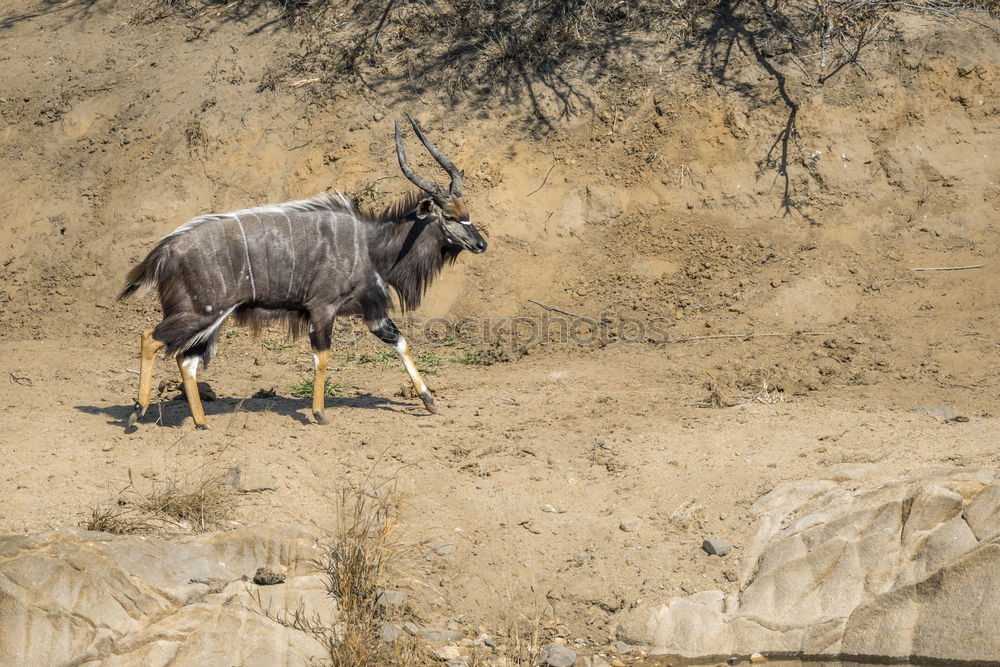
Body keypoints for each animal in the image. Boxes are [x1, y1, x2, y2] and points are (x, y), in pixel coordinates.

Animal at [119, 117, 486, 430]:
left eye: (467, 211)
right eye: (450, 216)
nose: (481, 244)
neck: (370, 245)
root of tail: (164, 251)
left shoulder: (371, 310)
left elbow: (400, 342)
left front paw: (429, 400)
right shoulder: (322, 308)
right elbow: (321, 356)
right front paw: (320, 413)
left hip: (212, 319)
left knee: (186, 360)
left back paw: (201, 423)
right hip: (199, 312)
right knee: (150, 338)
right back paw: (137, 411)